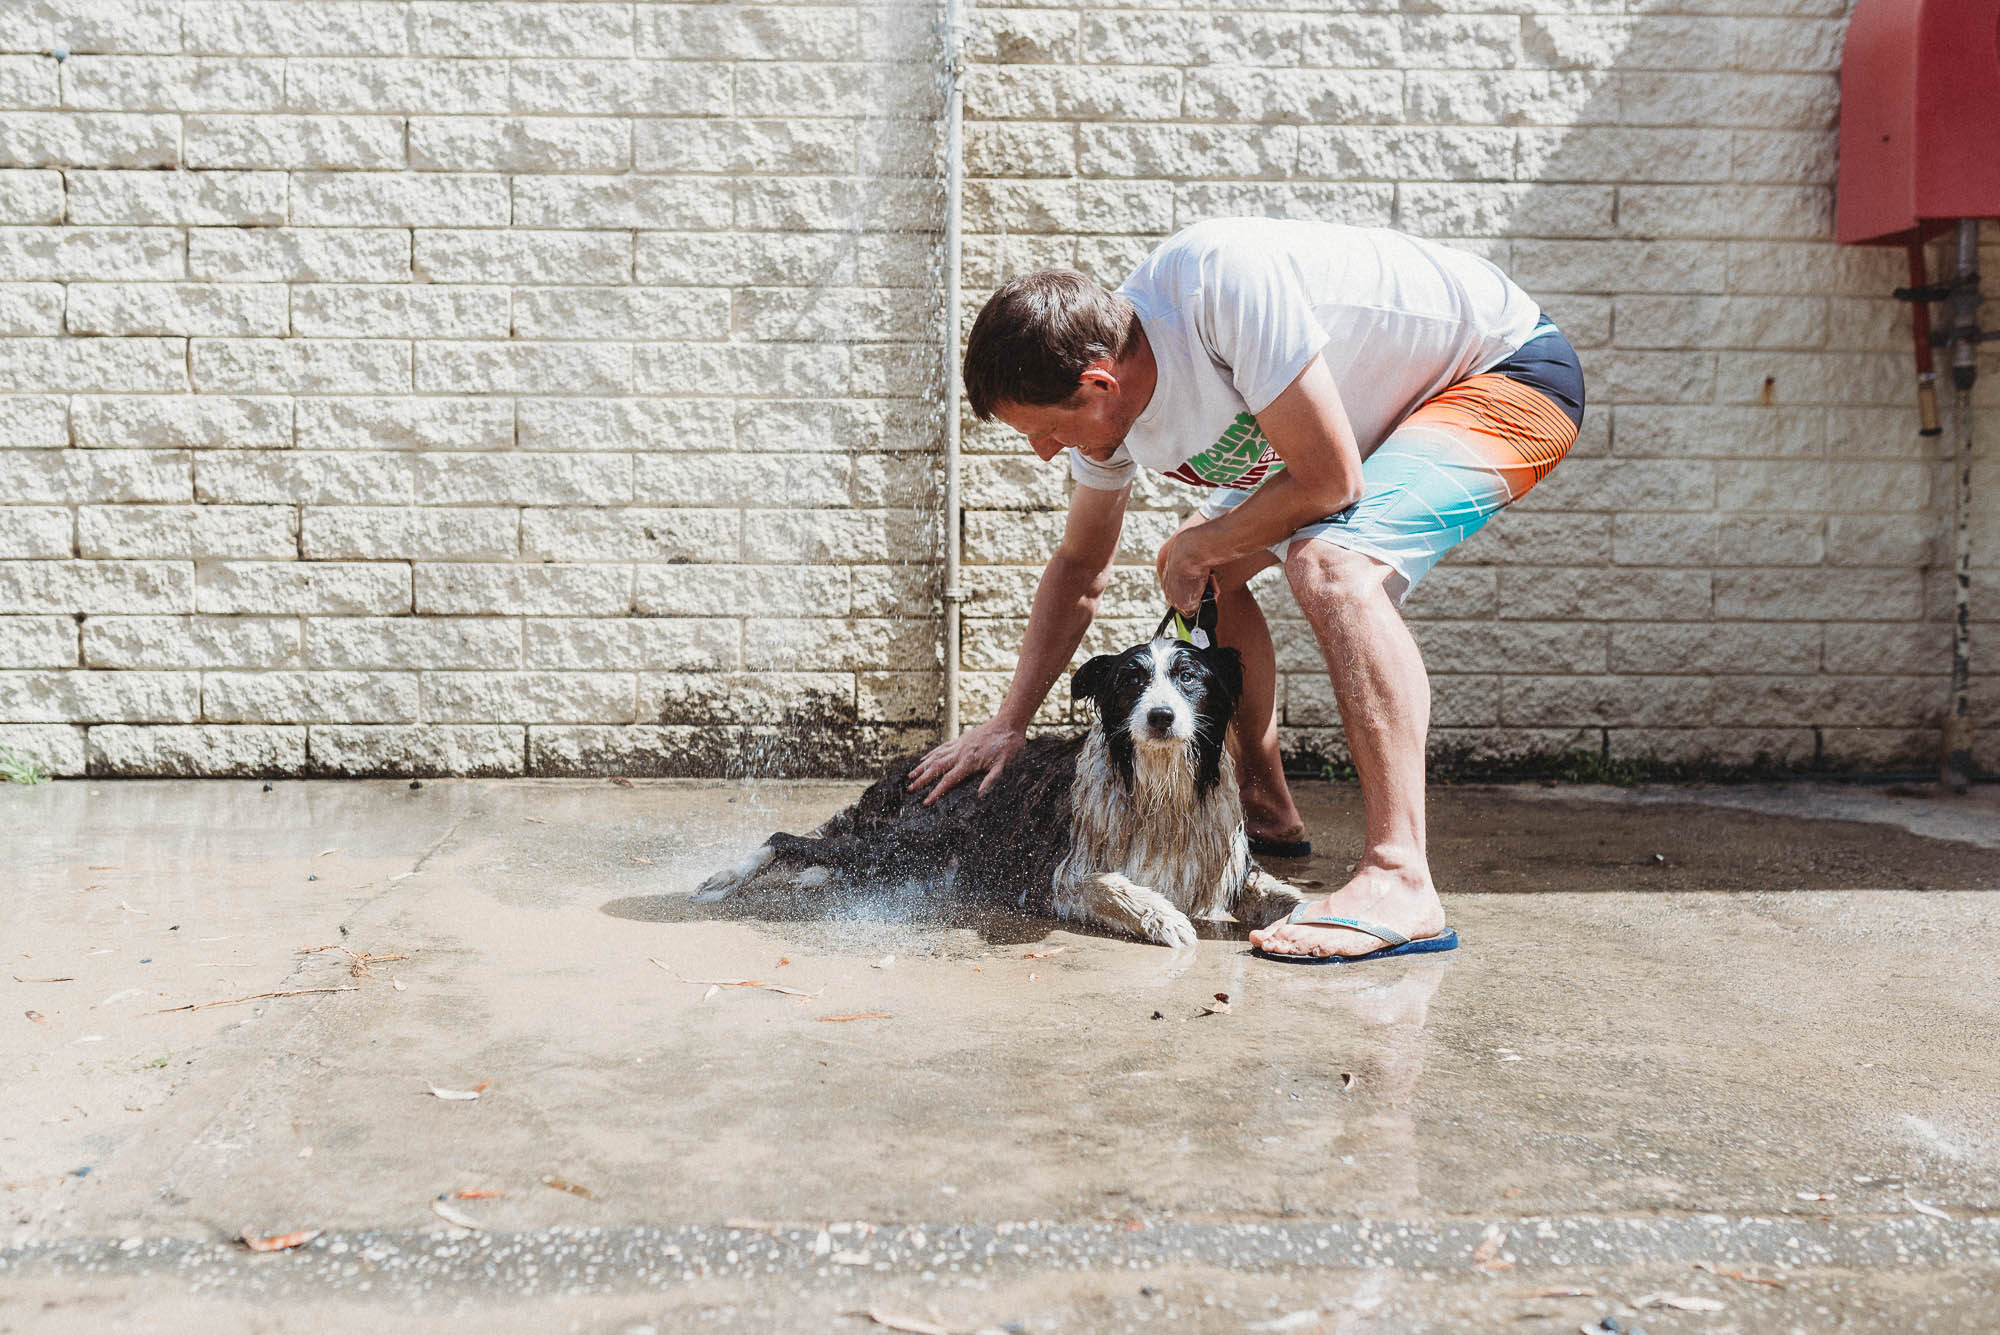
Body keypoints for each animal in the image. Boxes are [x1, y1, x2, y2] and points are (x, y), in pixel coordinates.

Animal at [692, 595, 1312, 947]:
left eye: (1189, 677)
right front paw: (1163, 918)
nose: (1161, 717)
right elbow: (1113, 884)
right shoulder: (1054, 876)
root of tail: (911, 765)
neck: (1160, 787)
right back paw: (726, 877)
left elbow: (1287, 894)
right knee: (785, 837)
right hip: (916, 837)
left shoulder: (1231, 870)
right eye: (1131, 680)